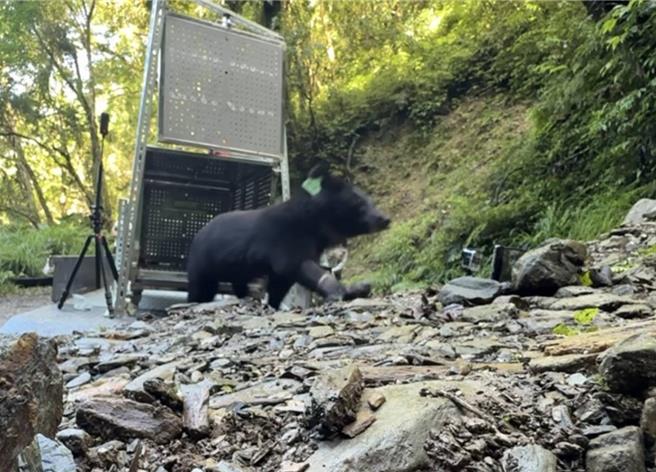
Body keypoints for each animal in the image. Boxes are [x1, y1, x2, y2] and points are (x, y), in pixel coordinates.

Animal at [186, 164, 390, 308]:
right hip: (203, 262)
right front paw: (340, 291)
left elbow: (281, 282)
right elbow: (295, 265)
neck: (316, 225)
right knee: (201, 287)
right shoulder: (284, 238)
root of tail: (199, 233)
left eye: (370, 201)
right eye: (359, 203)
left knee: (240, 282)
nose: (385, 218)